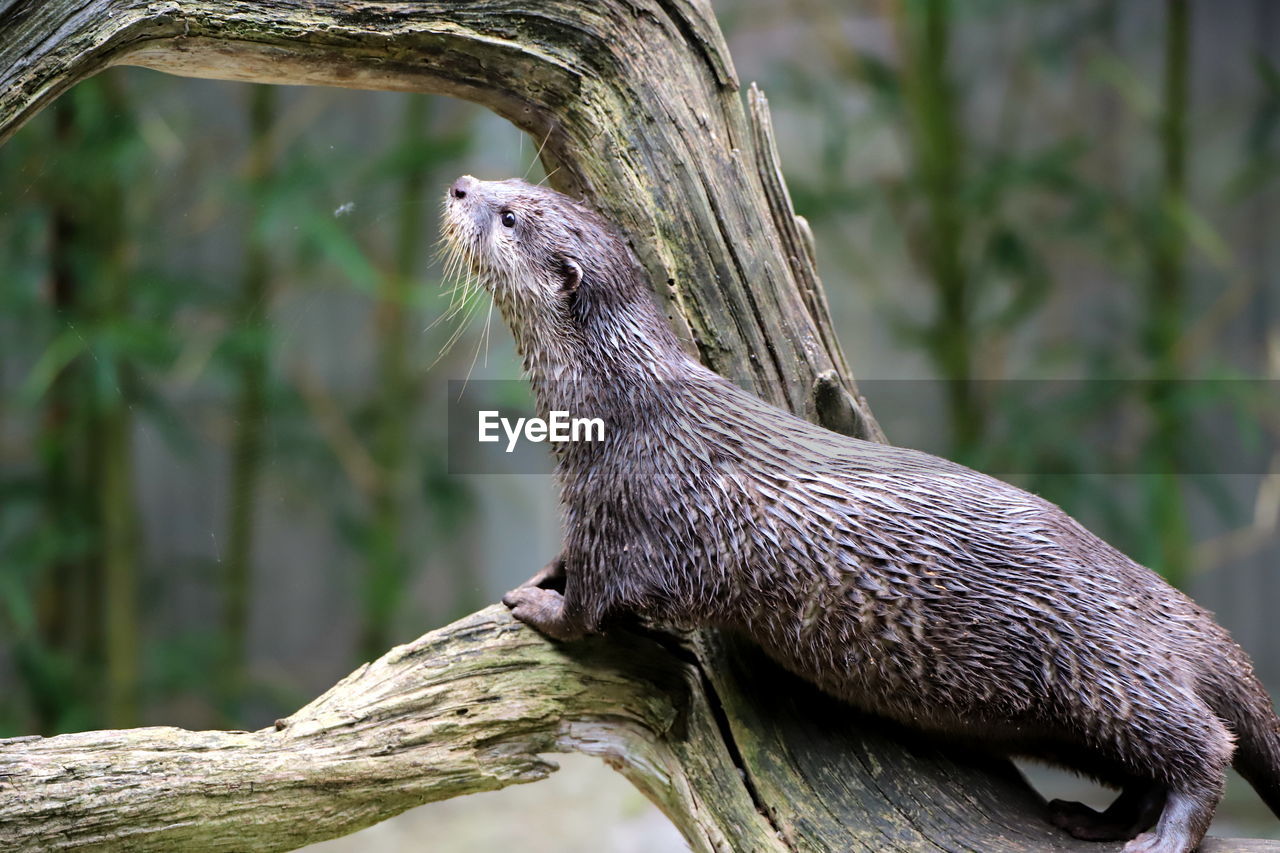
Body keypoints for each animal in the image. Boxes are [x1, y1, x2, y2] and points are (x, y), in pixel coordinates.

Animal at [440, 174, 1280, 850]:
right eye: (511, 184)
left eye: (509, 215)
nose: (459, 185)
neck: (620, 409)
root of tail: (1170, 607)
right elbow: (572, 564)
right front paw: (540, 575)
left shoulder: (625, 512)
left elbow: (592, 603)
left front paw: (537, 606)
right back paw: (1092, 819)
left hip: (1100, 668)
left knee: (1206, 744)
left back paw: (1161, 836)